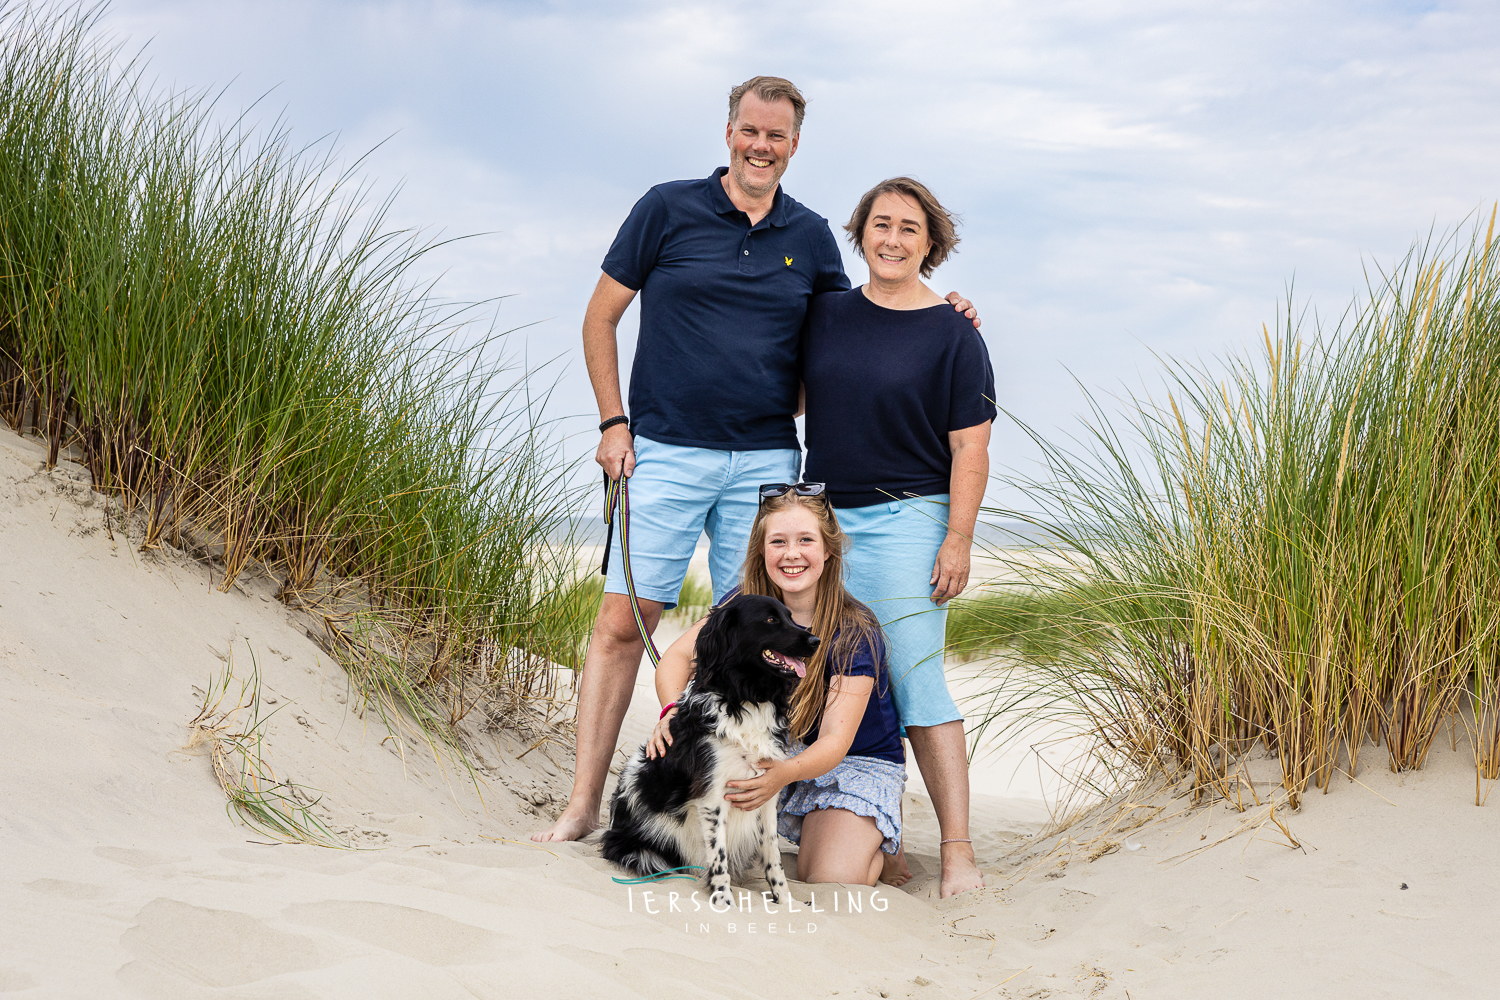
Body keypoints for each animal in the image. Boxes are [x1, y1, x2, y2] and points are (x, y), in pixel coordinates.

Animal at [597, 590, 822, 911]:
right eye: (770, 620)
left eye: (791, 617)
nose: (816, 641)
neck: (747, 696)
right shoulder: (713, 795)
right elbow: (719, 857)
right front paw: (724, 901)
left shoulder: (767, 793)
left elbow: (773, 857)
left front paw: (785, 901)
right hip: (642, 846)